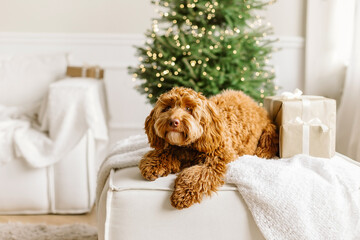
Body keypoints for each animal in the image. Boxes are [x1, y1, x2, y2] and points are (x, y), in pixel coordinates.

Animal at [139, 87, 278, 209]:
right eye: (167, 107)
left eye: (188, 108)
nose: (173, 122)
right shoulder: (175, 149)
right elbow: (164, 153)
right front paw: (152, 165)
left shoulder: (218, 159)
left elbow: (197, 174)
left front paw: (182, 194)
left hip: (267, 132)